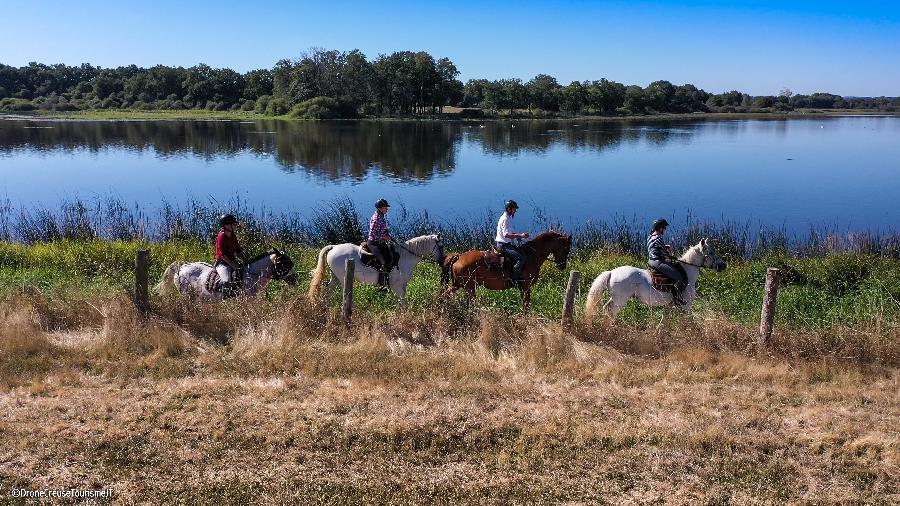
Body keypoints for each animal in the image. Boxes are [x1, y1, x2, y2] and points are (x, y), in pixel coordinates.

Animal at [308, 234, 444, 304]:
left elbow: (401, 301)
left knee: (327, 292)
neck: (405, 257)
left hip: (335, 277)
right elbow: (403, 302)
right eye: (441, 246)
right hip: (343, 278)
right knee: (344, 294)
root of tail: (334, 247)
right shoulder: (397, 286)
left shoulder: (401, 286)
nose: (443, 261)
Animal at [440, 231, 572, 310]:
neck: (532, 256)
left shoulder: (523, 288)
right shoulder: (526, 287)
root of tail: (459, 256)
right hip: (469, 287)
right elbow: (526, 305)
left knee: (445, 294)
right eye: (566, 248)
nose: (562, 266)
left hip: (459, 284)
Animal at [584, 238, 724, 320]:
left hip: (615, 298)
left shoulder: (669, 306)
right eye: (711, 253)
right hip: (620, 300)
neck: (687, 273)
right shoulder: (687, 306)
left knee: (606, 309)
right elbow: (689, 321)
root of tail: (612, 272)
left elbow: (663, 322)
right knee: (610, 312)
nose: (724, 265)